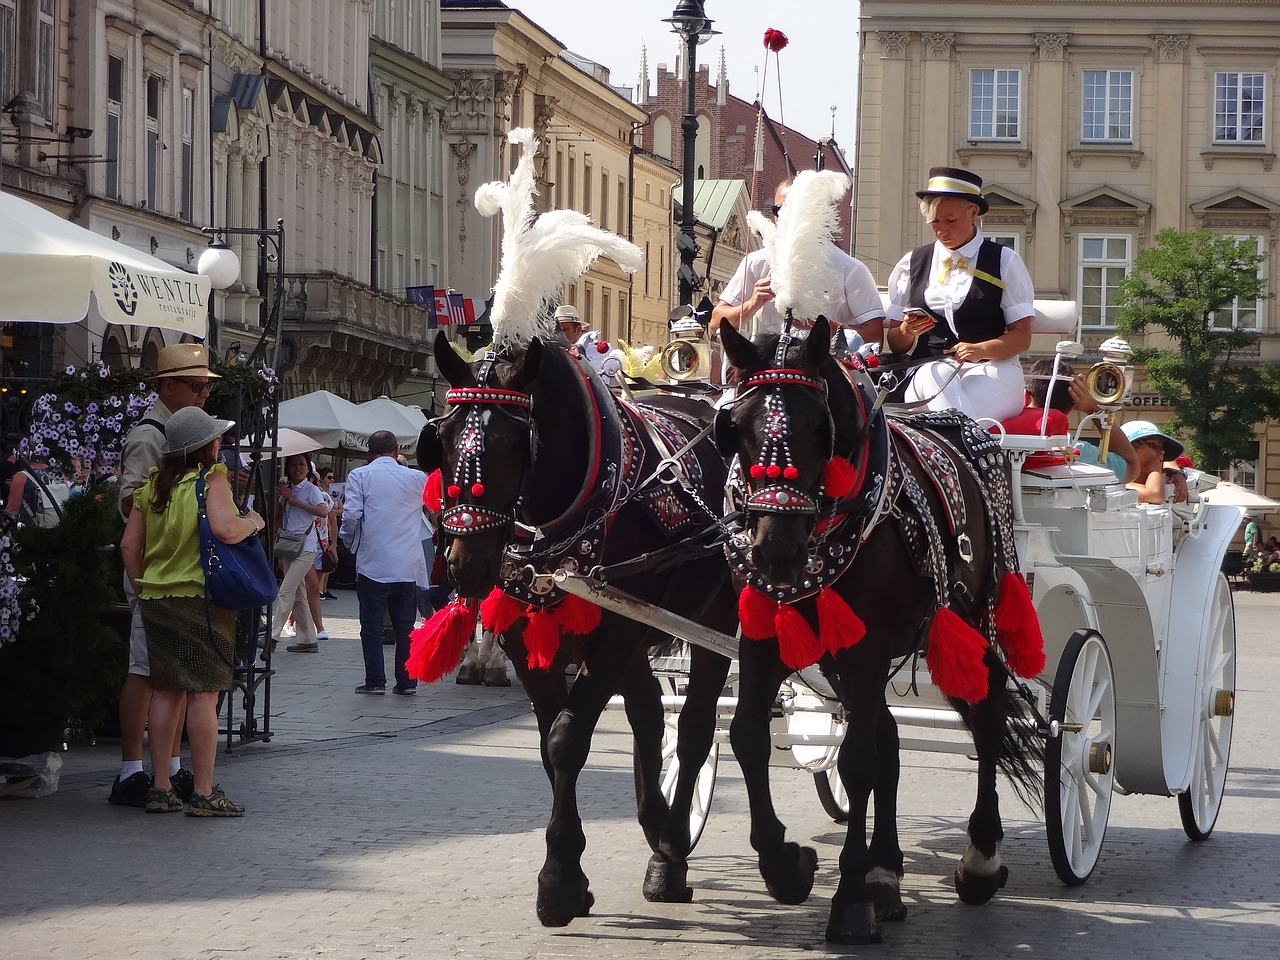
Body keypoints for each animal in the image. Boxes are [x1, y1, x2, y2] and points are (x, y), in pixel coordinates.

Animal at [417, 330, 737, 926]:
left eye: (516, 443)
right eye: (442, 438)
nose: (466, 566)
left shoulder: (617, 635)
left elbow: (568, 740)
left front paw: (559, 882)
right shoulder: (529, 641)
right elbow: (549, 744)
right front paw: (571, 873)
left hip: (714, 622)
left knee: (694, 733)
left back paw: (670, 854)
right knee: (649, 716)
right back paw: (658, 825)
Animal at [716, 321, 1044, 947]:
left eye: (820, 428)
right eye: (735, 429)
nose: (776, 552)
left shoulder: (866, 646)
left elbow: (857, 761)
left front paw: (848, 901)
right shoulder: (766, 635)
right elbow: (747, 737)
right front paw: (786, 867)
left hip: (976, 618)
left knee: (987, 718)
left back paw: (979, 859)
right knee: (891, 736)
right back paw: (886, 873)